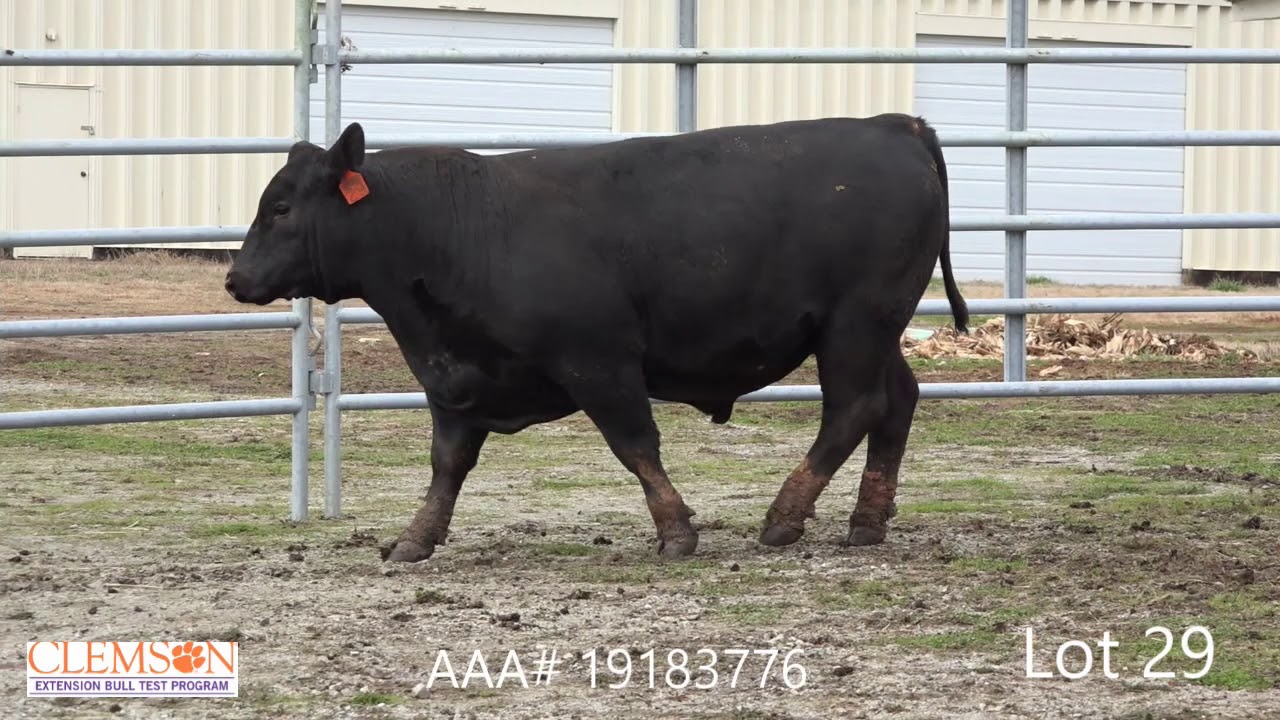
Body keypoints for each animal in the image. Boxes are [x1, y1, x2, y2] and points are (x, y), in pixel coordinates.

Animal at [224, 114, 968, 563]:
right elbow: (447, 466)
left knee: (852, 410)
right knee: (897, 403)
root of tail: (893, 126)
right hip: (877, 330)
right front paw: (414, 539)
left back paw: (785, 516)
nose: (235, 277)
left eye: (282, 207)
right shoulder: (454, 381)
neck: (461, 225)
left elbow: (634, 444)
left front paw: (676, 531)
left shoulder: (598, 362)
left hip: (854, 325)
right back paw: (867, 520)